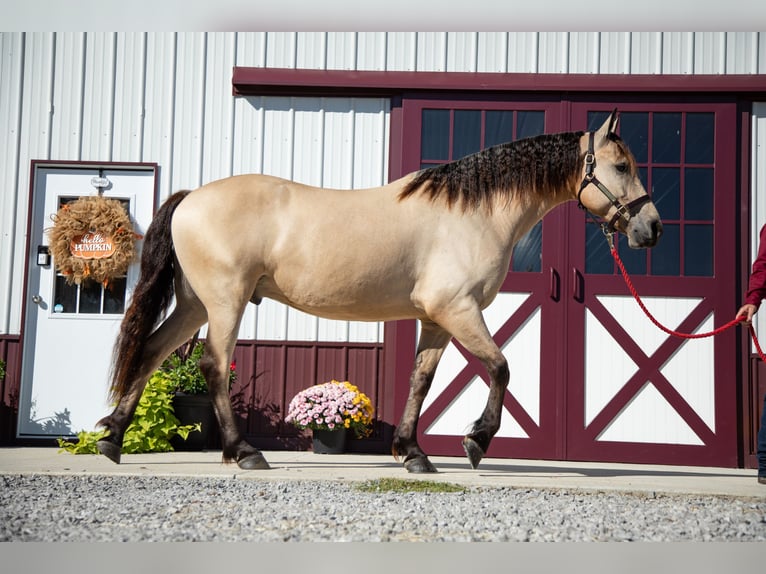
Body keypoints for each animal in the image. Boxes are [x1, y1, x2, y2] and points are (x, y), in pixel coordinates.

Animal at [96, 110, 662, 473]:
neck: (472, 213)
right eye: (621, 166)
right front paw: (476, 441)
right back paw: (245, 452)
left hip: (195, 305)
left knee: (151, 351)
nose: (651, 228)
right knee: (212, 365)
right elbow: (501, 367)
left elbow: (421, 381)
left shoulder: (436, 318)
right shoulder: (457, 310)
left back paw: (112, 440)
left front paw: (413, 453)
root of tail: (192, 196)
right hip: (224, 303)